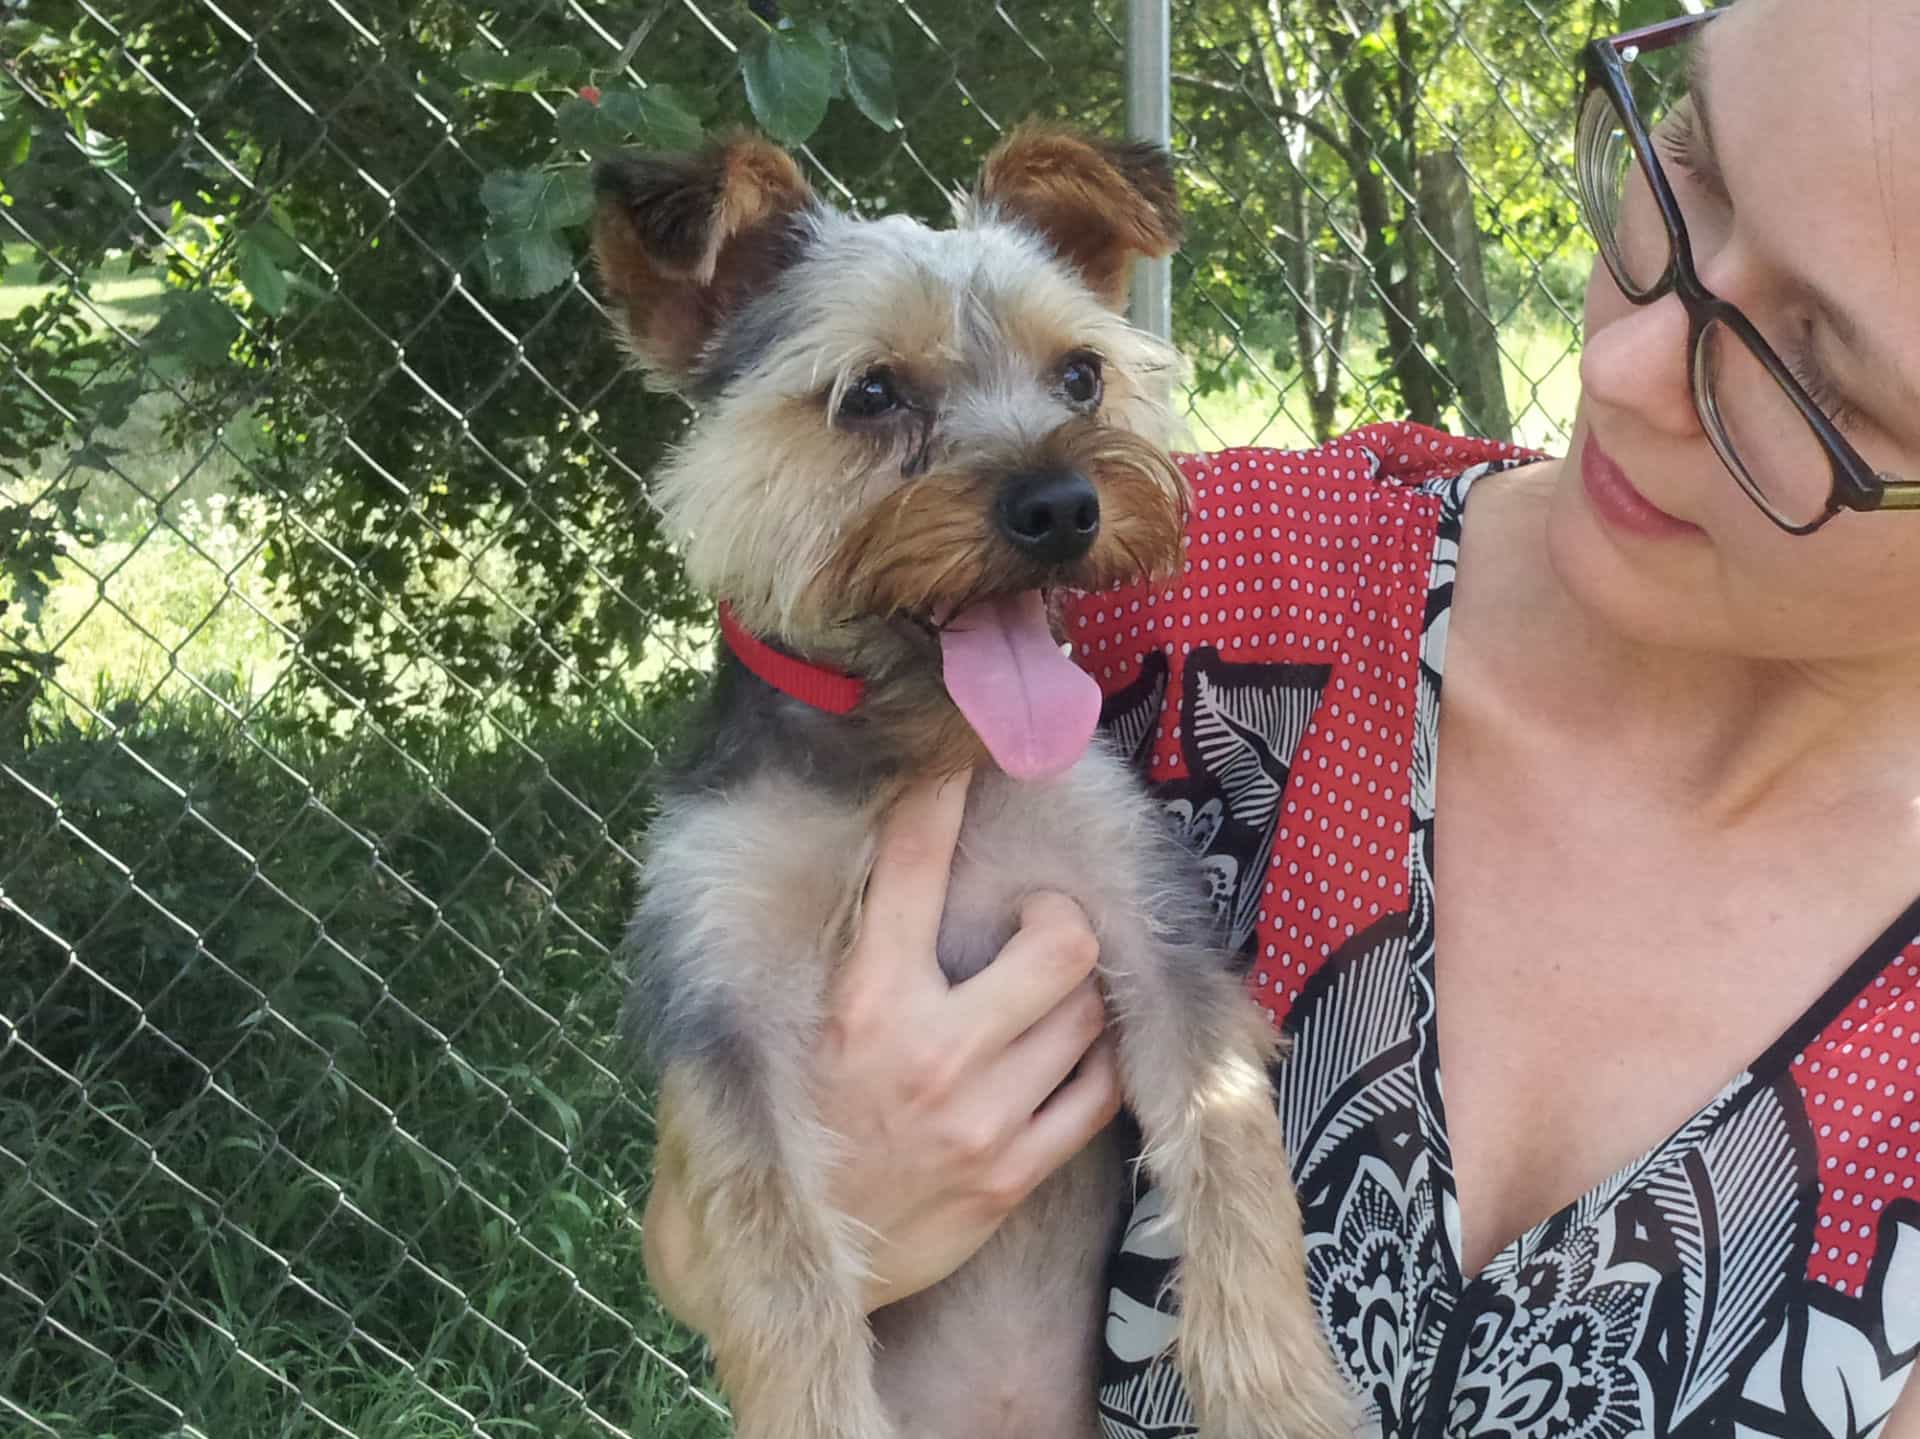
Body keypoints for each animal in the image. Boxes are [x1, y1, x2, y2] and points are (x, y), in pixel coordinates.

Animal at [599, 125, 1351, 1437]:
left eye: (1082, 377)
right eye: (871, 393)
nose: (1061, 504)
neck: (913, 746)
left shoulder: (1151, 936)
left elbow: (1232, 1163)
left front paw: (1282, 1399)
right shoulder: (724, 1009)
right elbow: (780, 1257)